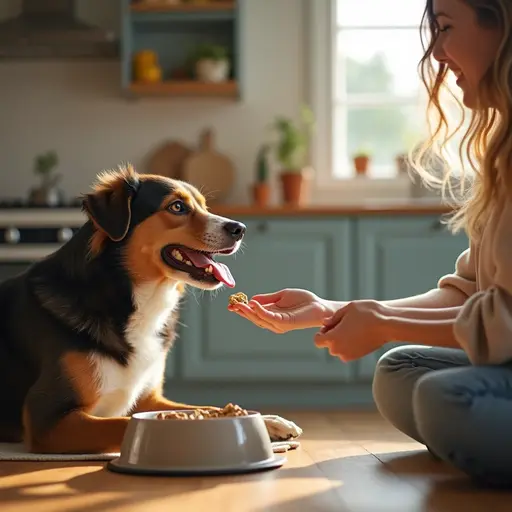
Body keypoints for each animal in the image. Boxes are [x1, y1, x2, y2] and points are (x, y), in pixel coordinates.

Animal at [0, 163, 300, 452]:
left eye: (205, 206)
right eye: (177, 207)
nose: (240, 228)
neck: (131, 301)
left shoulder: (148, 399)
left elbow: (207, 408)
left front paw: (266, 421)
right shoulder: (47, 418)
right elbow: (128, 424)